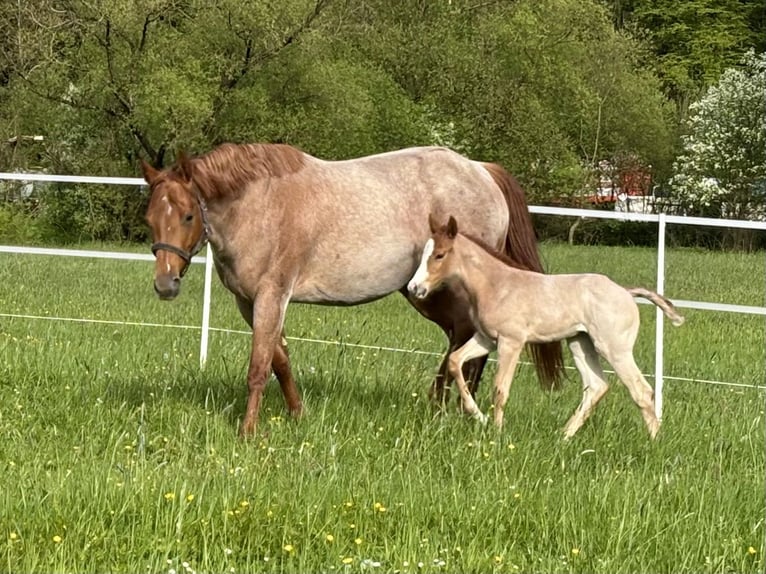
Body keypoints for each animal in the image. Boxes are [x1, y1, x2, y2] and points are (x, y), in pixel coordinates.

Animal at [141, 143, 563, 437]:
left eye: (188, 215)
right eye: (149, 218)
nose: (165, 284)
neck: (259, 204)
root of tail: (482, 171)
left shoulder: (271, 296)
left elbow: (258, 367)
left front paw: (248, 432)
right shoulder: (250, 302)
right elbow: (280, 361)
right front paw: (298, 414)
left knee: (469, 344)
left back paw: (457, 410)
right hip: (426, 292)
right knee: (460, 341)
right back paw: (442, 407)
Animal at [408, 214, 684, 439]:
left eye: (440, 254)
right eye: (423, 253)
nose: (414, 287)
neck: (497, 285)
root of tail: (626, 292)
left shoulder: (511, 342)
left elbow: (500, 389)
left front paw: (497, 433)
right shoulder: (486, 339)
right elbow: (455, 361)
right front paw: (481, 418)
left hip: (614, 348)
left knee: (641, 390)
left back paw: (654, 443)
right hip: (580, 343)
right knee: (596, 386)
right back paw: (563, 437)